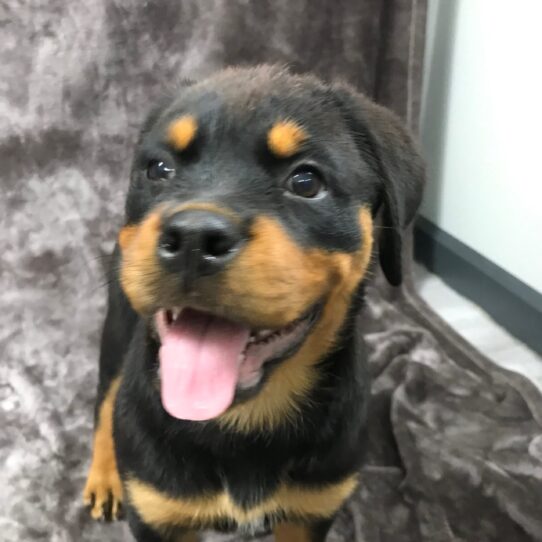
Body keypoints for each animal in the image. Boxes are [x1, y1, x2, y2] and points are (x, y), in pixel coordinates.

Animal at [83, 66, 428, 540]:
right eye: (159, 169)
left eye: (306, 181)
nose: (193, 238)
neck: (245, 418)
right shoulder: (157, 512)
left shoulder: (312, 510)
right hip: (118, 326)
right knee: (105, 399)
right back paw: (104, 476)